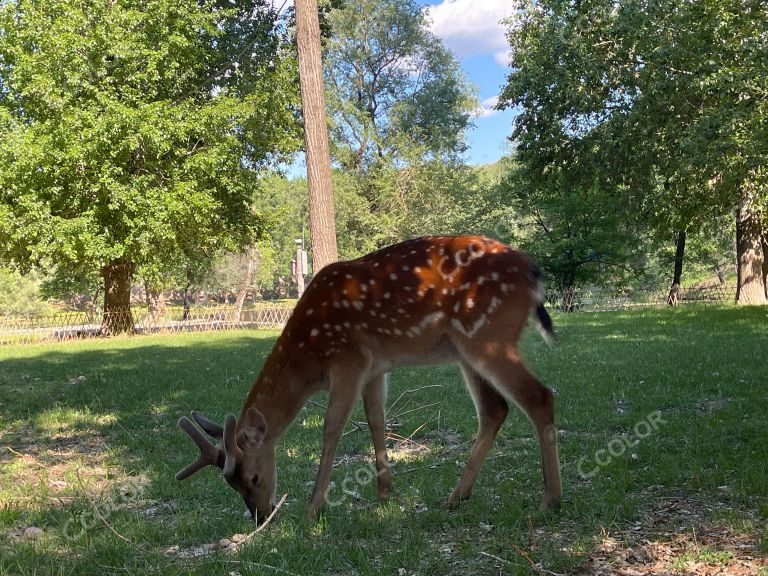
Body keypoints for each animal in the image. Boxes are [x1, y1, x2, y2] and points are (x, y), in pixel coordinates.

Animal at [177, 236, 560, 524]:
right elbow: (376, 419)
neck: (309, 354)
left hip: (489, 335)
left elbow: (332, 426)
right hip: (467, 349)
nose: (261, 516)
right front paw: (385, 492)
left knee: (540, 396)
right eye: (232, 486)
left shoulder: (349, 358)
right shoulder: (375, 368)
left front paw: (315, 506)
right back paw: (456, 497)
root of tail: (534, 274)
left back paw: (550, 500)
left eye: (253, 477)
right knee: (495, 409)